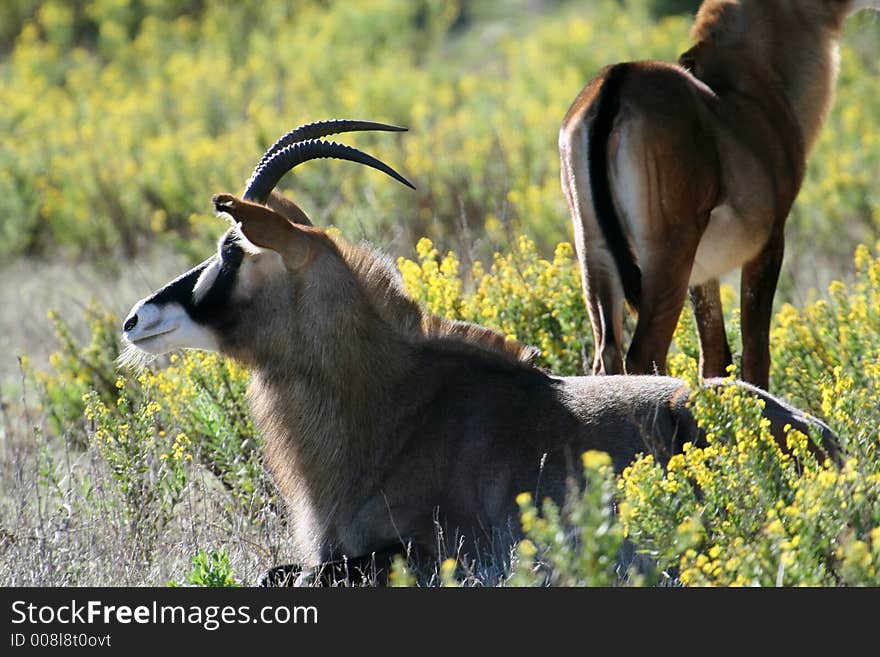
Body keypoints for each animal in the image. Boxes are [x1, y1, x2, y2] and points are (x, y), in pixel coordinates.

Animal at [124, 118, 840, 584]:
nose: (135, 319)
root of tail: (821, 435)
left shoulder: (443, 552)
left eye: (231, 250)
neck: (396, 405)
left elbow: (293, 577)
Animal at [560, 0, 876, 390]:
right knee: (644, 353)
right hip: (668, 252)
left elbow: (714, 356)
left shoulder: (702, 274)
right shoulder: (769, 243)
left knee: (607, 354)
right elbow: (755, 354)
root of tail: (619, 80)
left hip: (595, 251)